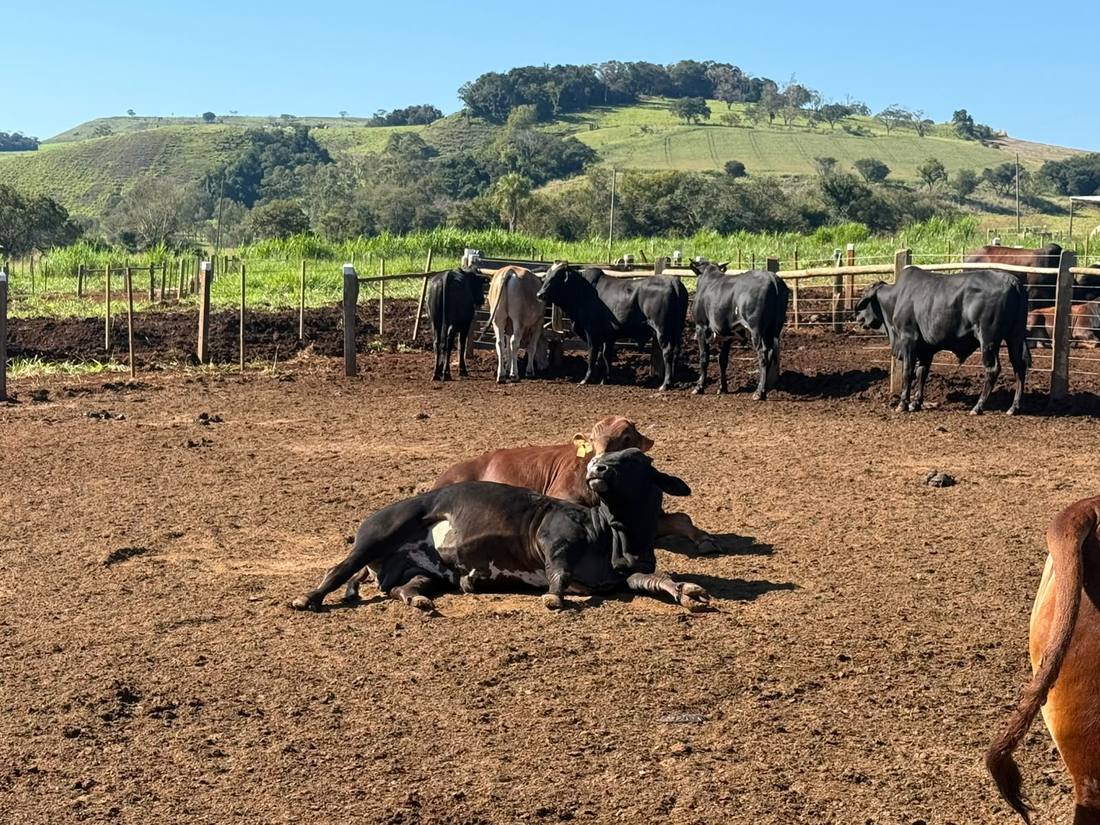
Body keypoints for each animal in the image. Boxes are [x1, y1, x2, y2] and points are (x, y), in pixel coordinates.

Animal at [290, 448, 711, 614]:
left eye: (634, 459)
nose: (597, 467)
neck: (611, 535)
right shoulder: (554, 536)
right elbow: (560, 571)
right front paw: (555, 596)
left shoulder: (629, 574)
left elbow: (657, 578)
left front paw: (687, 591)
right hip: (377, 535)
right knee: (337, 570)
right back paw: (308, 598)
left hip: (421, 572)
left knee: (404, 588)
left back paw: (422, 599)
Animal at [535, 262, 689, 391]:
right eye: (546, 276)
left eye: (555, 277)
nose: (540, 294)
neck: (584, 291)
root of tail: (673, 282)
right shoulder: (609, 336)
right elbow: (606, 355)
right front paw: (605, 379)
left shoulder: (591, 333)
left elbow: (592, 355)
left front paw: (586, 379)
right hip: (677, 330)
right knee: (676, 351)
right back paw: (672, 380)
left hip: (662, 329)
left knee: (667, 351)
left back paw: (665, 384)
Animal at [690, 262, 789, 399]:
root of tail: (772, 277)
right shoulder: (728, 334)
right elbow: (722, 360)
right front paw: (722, 388)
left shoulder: (701, 327)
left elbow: (704, 357)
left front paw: (699, 387)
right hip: (774, 329)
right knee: (771, 353)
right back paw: (762, 390)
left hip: (756, 329)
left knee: (763, 354)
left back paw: (759, 392)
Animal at [854, 266, 1030, 415]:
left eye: (864, 299)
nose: (857, 317)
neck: (896, 298)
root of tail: (1011, 280)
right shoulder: (926, 349)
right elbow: (921, 373)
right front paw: (916, 403)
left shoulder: (908, 340)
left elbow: (908, 372)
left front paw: (903, 403)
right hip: (1015, 337)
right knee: (1019, 367)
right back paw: (1014, 407)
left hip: (988, 340)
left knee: (993, 369)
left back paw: (978, 406)